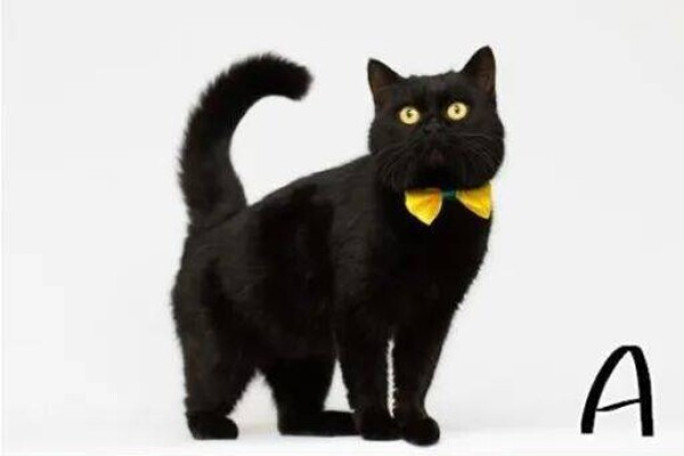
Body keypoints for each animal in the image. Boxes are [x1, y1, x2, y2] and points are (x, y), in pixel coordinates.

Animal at [171, 46, 504, 446]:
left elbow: (416, 373)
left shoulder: (432, 314)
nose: (433, 127)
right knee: (201, 392)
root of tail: (219, 220)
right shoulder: (359, 311)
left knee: (293, 417)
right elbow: (368, 374)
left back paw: (337, 422)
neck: (435, 211)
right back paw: (213, 425)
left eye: (458, 110)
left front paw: (414, 424)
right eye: (408, 114)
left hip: (307, 354)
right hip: (219, 348)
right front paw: (378, 425)